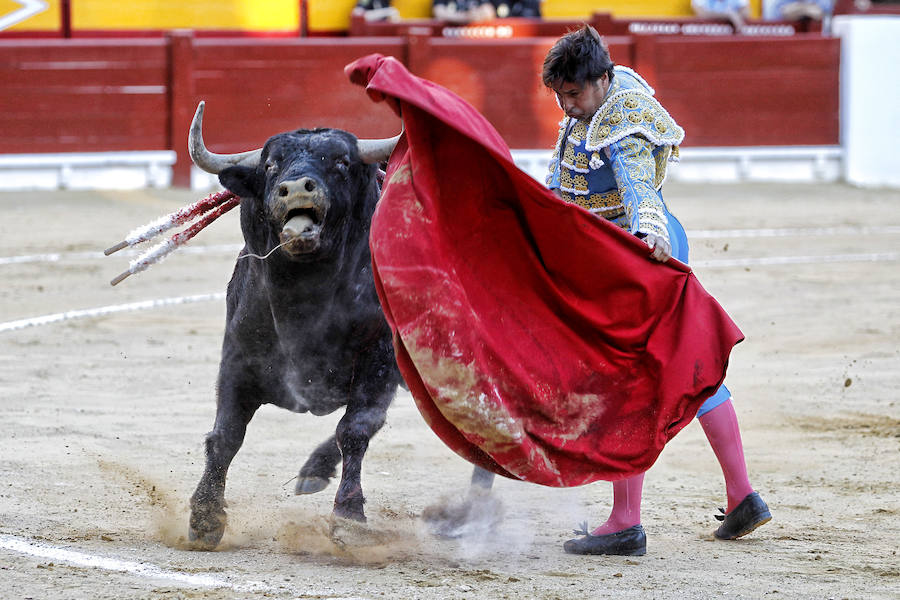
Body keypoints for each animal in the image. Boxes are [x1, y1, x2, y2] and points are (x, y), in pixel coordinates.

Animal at [185, 104, 492, 548]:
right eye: (271, 164)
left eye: (342, 162)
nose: (297, 188)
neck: (306, 299)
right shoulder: (238, 357)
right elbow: (226, 433)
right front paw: (206, 516)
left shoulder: (378, 359)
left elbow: (356, 430)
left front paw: (349, 517)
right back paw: (314, 471)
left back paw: (471, 513)